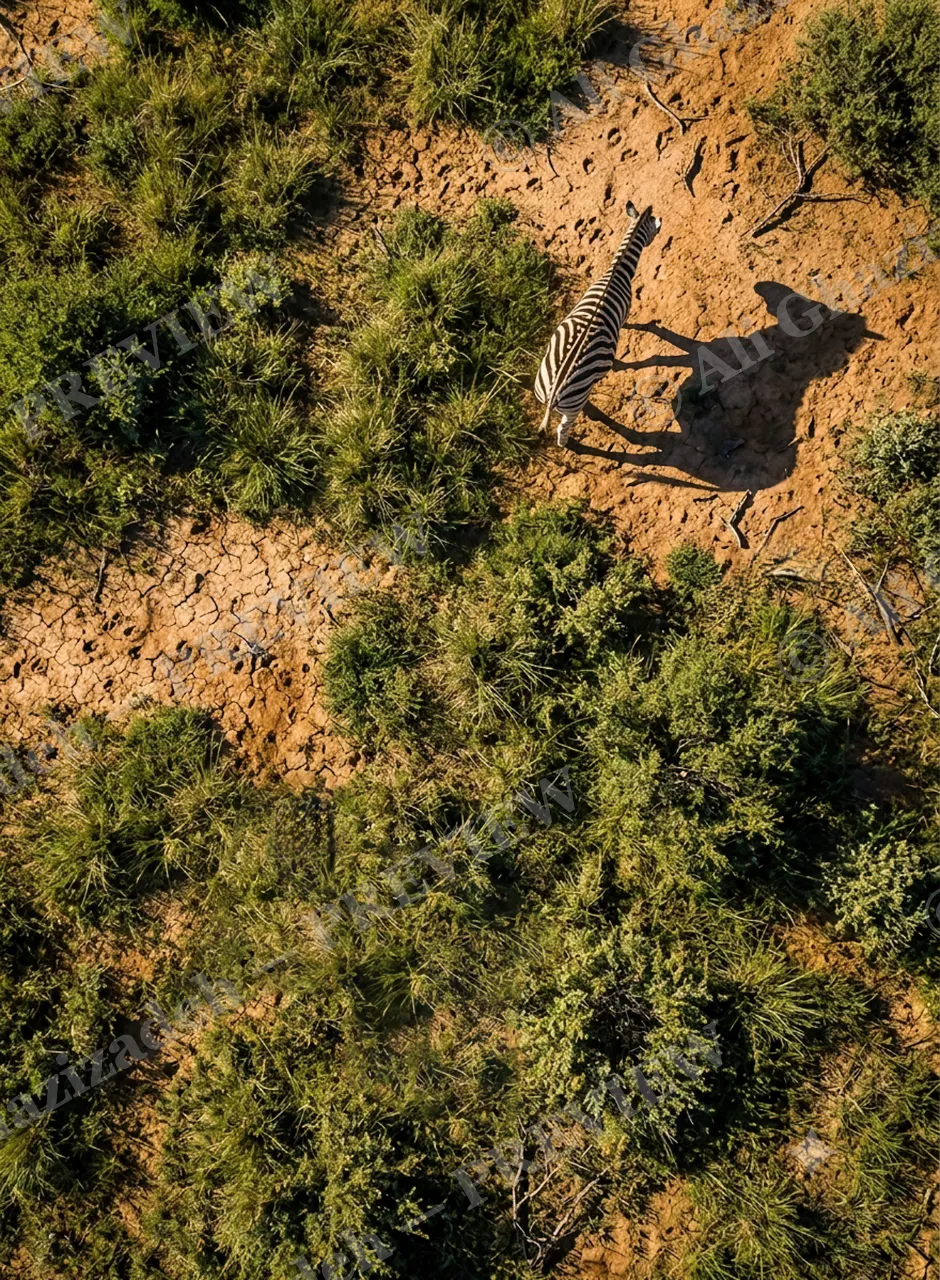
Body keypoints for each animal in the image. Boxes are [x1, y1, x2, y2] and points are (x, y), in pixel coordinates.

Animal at [534, 201, 662, 447]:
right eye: (654, 229)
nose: (661, 224)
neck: (616, 271)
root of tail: (553, 394)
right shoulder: (626, 310)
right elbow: (628, 327)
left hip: (543, 385)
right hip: (574, 400)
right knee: (563, 429)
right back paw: (568, 444)